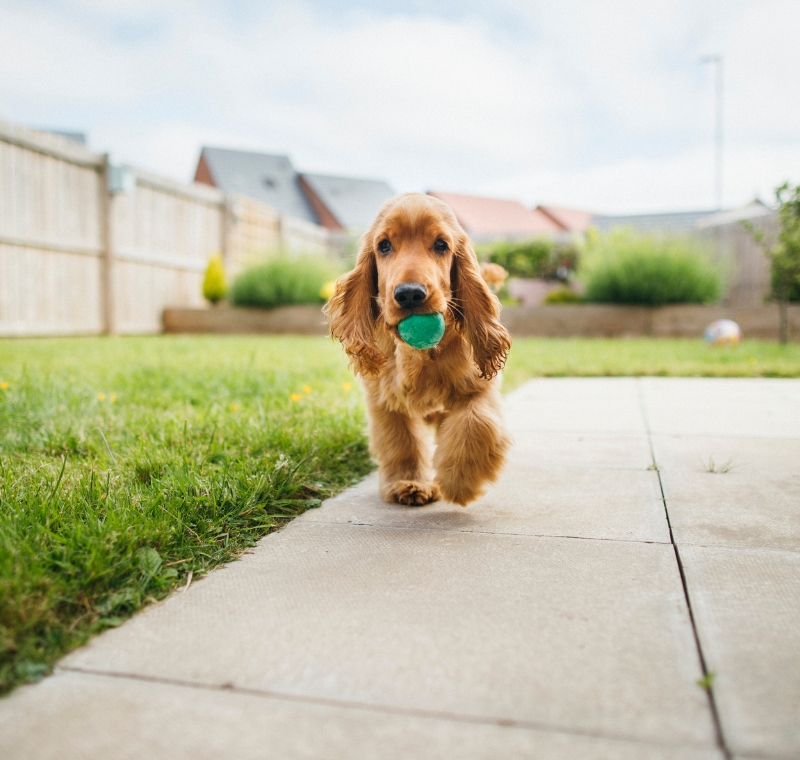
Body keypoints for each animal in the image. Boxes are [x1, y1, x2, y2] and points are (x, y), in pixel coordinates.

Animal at [326, 193, 510, 508]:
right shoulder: (385, 399)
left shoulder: (478, 387)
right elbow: (402, 441)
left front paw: (459, 481)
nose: (410, 294)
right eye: (384, 246)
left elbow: (476, 423)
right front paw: (410, 482)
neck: (419, 354)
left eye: (441, 245)